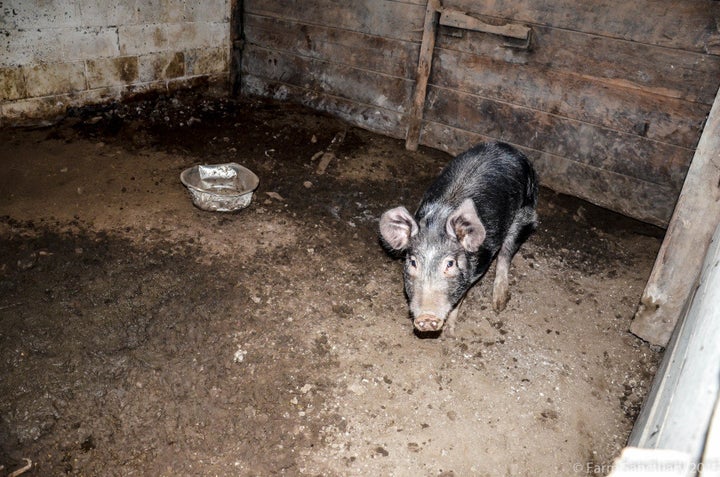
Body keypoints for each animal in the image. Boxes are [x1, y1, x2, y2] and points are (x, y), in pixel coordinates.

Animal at [380, 141, 536, 334]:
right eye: (413, 262)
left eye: (450, 264)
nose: (427, 317)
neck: (439, 220)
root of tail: (510, 148)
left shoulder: (475, 271)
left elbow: (460, 298)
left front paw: (449, 332)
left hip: (525, 214)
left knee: (506, 254)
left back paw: (498, 305)